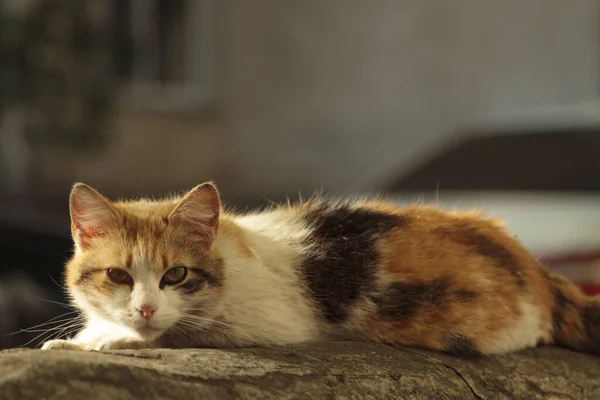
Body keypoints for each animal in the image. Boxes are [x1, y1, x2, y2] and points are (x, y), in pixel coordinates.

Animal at [42, 183, 600, 354]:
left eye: (175, 275)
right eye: (118, 276)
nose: (145, 309)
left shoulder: (272, 325)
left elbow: (181, 332)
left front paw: (106, 342)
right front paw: (80, 339)